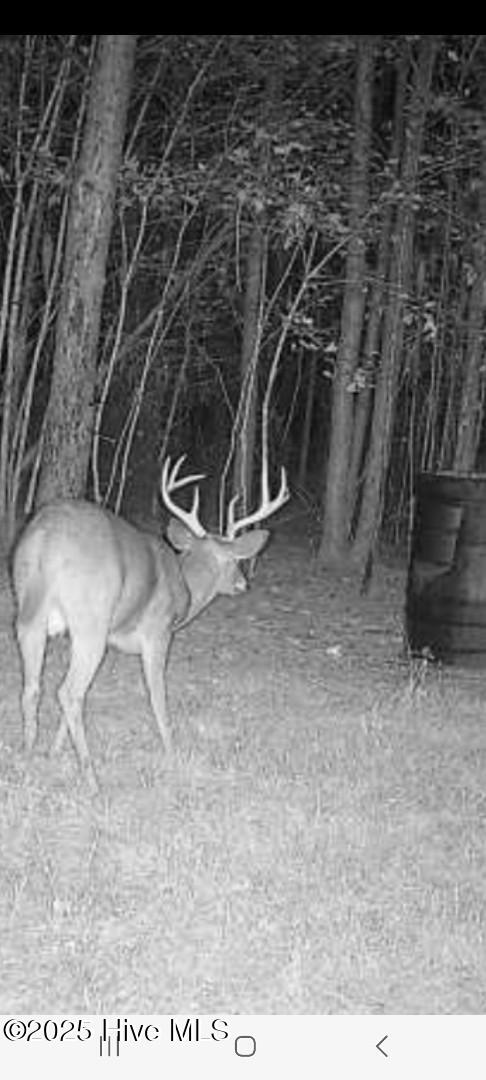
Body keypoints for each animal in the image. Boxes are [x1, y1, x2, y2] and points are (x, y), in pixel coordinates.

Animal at [12, 455, 289, 792]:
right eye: (234, 561)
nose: (243, 584)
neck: (185, 585)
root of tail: (46, 537)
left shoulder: (110, 639)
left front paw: (54, 751)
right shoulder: (158, 632)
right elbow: (158, 695)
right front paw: (172, 751)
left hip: (29, 613)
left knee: (33, 688)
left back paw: (27, 759)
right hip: (91, 619)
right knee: (68, 692)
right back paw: (92, 781)